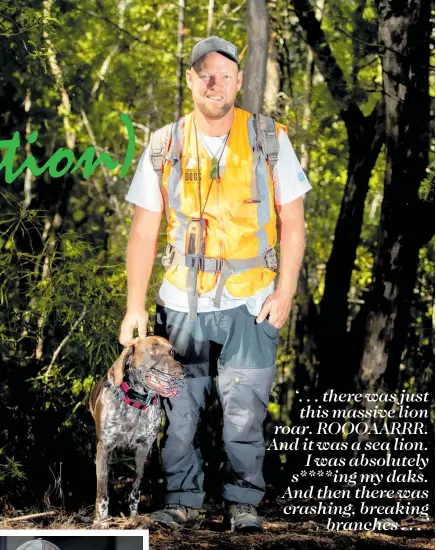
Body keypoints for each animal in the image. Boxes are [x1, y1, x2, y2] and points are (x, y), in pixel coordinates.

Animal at [88, 334, 184, 528]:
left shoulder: (143, 450)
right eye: (153, 350)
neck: (136, 403)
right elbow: (102, 492)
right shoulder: (104, 448)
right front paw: (101, 522)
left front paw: (133, 518)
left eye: (172, 352)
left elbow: (135, 489)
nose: (180, 373)